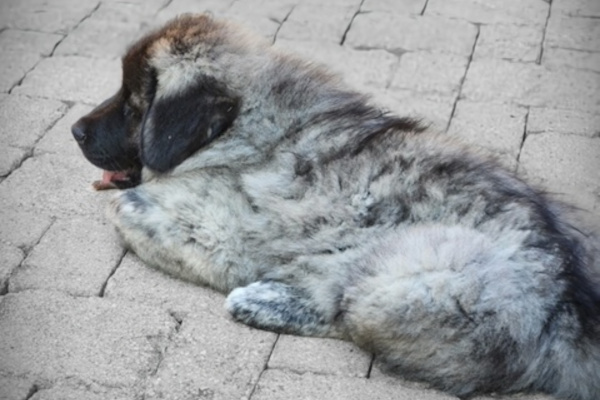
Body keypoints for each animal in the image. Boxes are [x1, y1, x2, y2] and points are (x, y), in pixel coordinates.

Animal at [74, 13, 600, 400]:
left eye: (133, 106)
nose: (75, 130)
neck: (245, 128)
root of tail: (570, 307)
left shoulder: (216, 224)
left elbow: (121, 209)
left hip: (393, 280)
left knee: (345, 315)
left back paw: (264, 301)